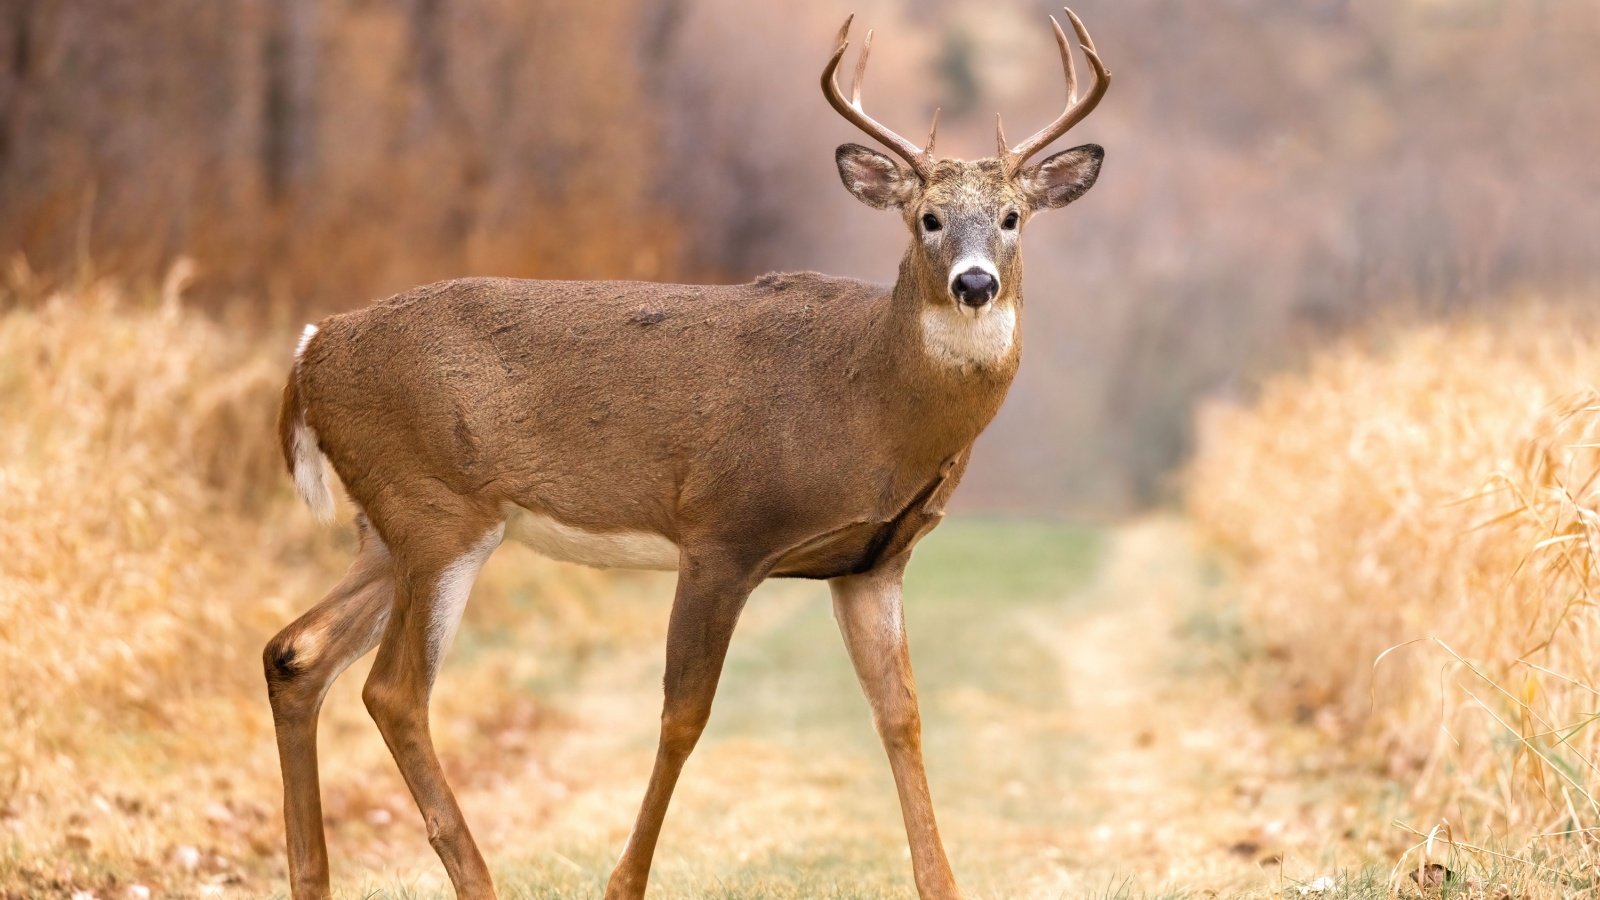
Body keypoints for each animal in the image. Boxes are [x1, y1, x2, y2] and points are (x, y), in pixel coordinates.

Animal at [265, 8, 1113, 896]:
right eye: (928, 218)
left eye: (1013, 218)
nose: (974, 284)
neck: (869, 402)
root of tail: (310, 350)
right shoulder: (724, 531)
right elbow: (684, 714)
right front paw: (623, 882)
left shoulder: (873, 562)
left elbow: (901, 715)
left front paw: (941, 882)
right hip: (436, 508)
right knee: (393, 690)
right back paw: (476, 877)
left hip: (385, 525)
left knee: (296, 653)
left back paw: (311, 876)